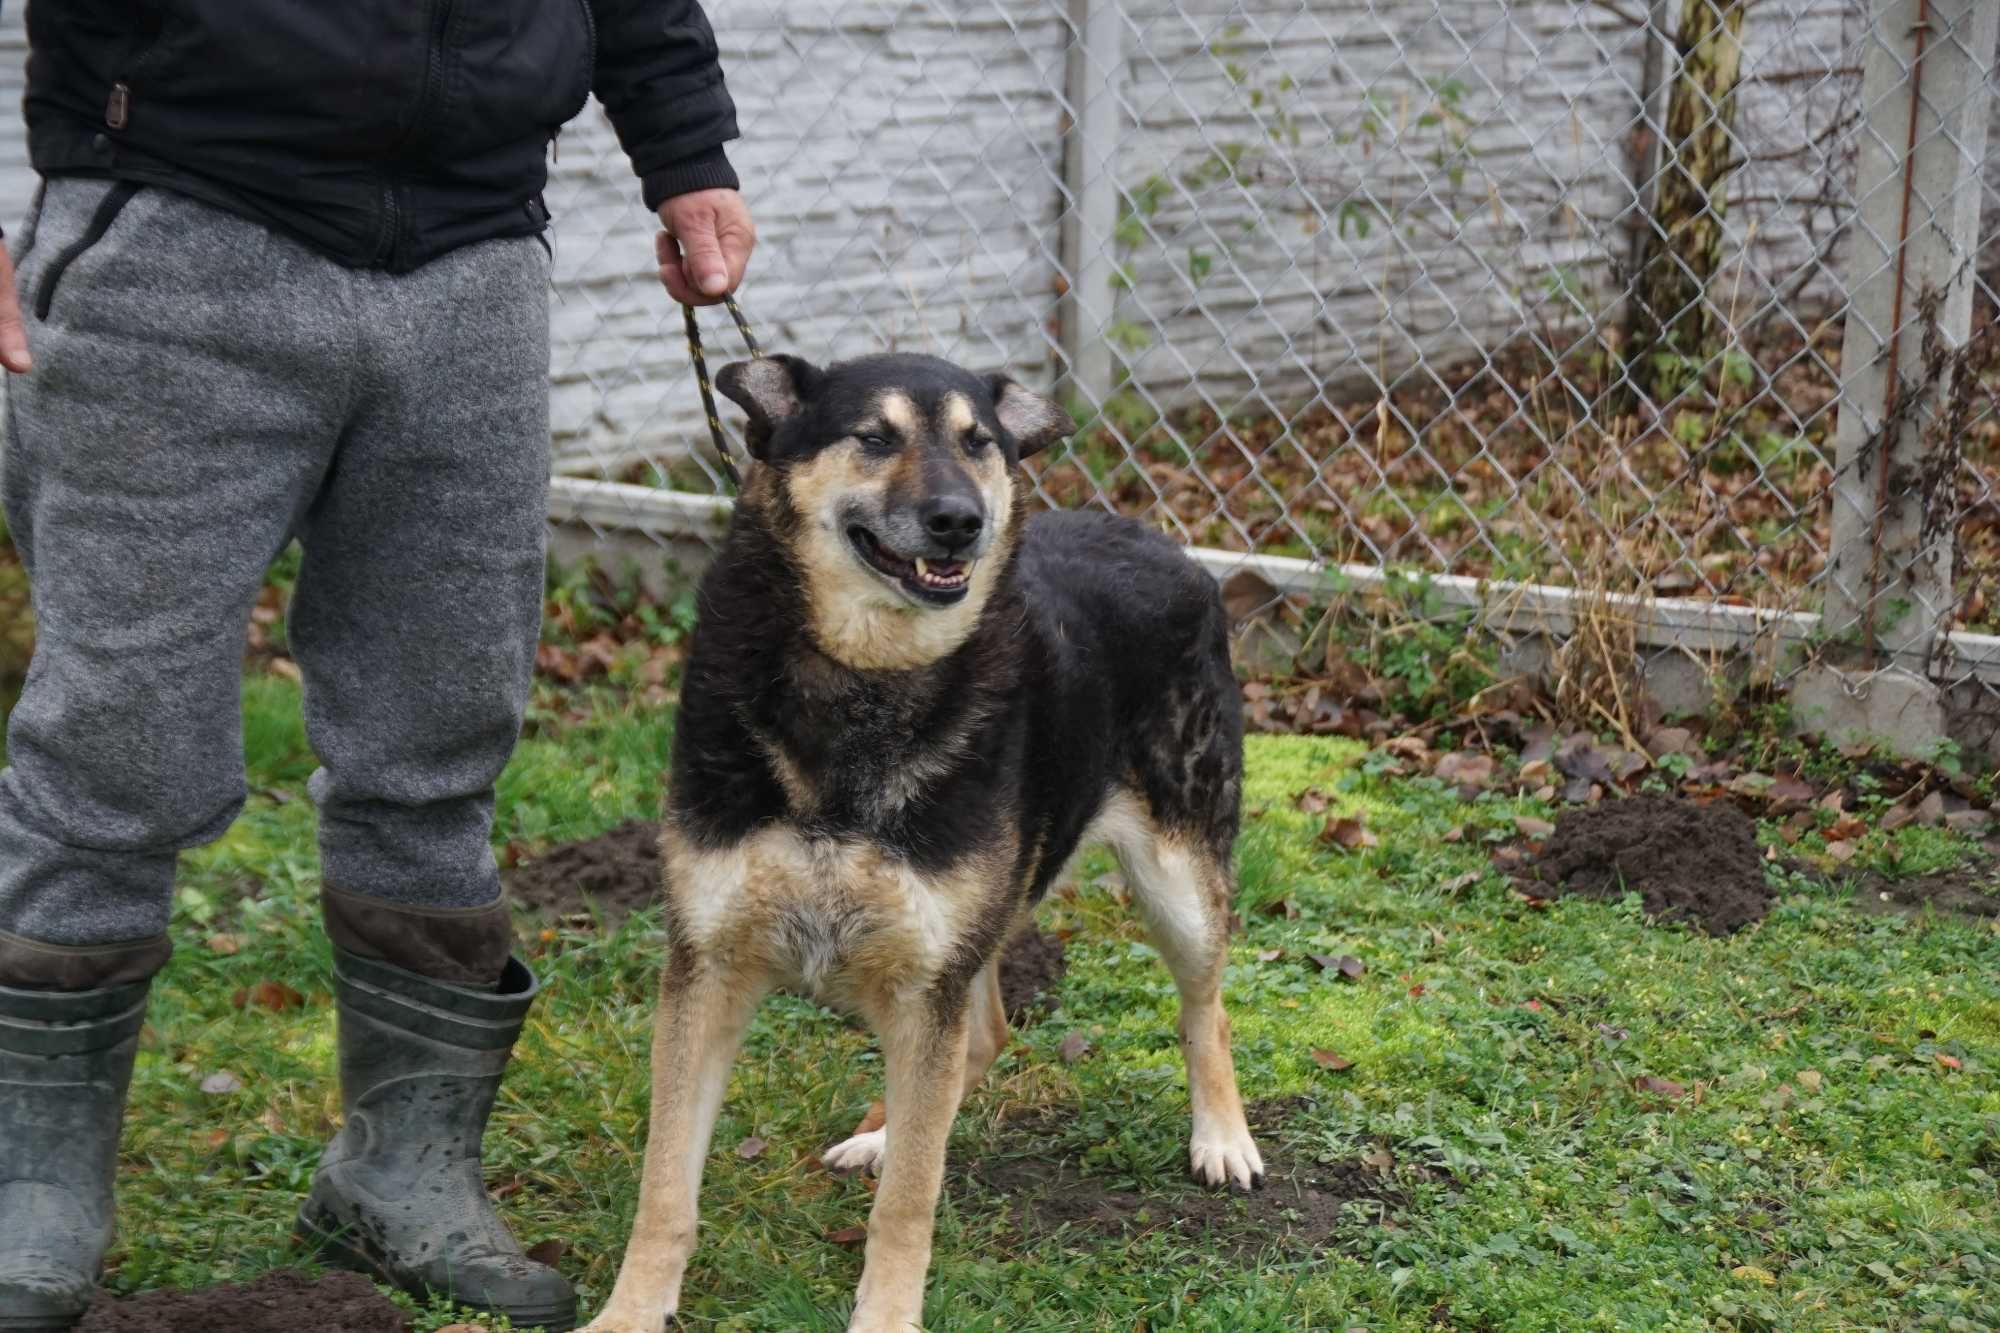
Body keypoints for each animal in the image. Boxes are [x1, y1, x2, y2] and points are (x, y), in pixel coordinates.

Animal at [584, 352, 1264, 1328]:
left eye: (979, 443)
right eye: (874, 436)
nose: (960, 522)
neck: (867, 683)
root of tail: (1157, 536)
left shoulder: (924, 975)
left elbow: (910, 1200)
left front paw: (885, 1314)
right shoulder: (707, 966)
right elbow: (666, 1181)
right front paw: (632, 1310)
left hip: (1176, 881)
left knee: (1203, 1009)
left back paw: (1223, 1137)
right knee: (981, 1041)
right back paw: (881, 1133)